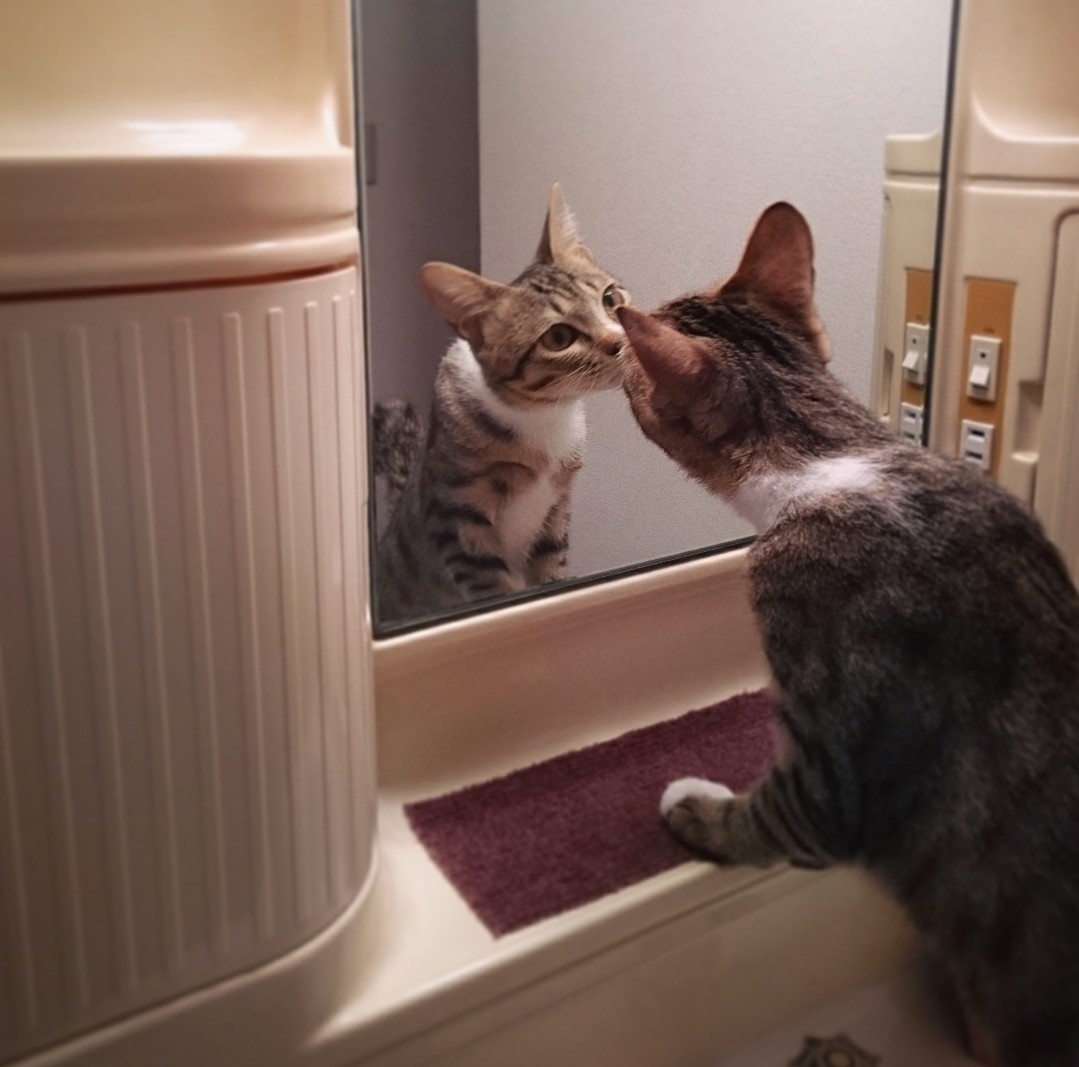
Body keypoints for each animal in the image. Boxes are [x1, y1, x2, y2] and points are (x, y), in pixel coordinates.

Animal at [375, 184, 629, 624]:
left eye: (610, 297)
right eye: (558, 337)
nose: (619, 341)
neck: (545, 415)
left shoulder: (556, 512)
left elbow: (550, 575)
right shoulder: (460, 517)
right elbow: (497, 590)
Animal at [616, 203, 1079, 1067]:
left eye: (627, 361)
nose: (606, 334)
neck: (838, 454)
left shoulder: (832, 762)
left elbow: (777, 812)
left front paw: (694, 807)